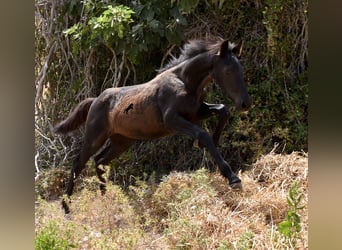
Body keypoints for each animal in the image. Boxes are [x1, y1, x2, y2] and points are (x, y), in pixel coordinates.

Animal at [53, 38, 251, 213]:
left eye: (241, 69)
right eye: (227, 70)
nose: (244, 104)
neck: (185, 82)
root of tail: (94, 100)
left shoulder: (196, 113)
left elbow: (223, 110)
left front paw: (211, 144)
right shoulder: (172, 120)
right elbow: (203, 134)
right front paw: (233, 178)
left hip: (123, 140)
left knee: (100, 161)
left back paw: (106, 198)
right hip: (95, 137)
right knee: (78, 163)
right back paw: (67, 207)